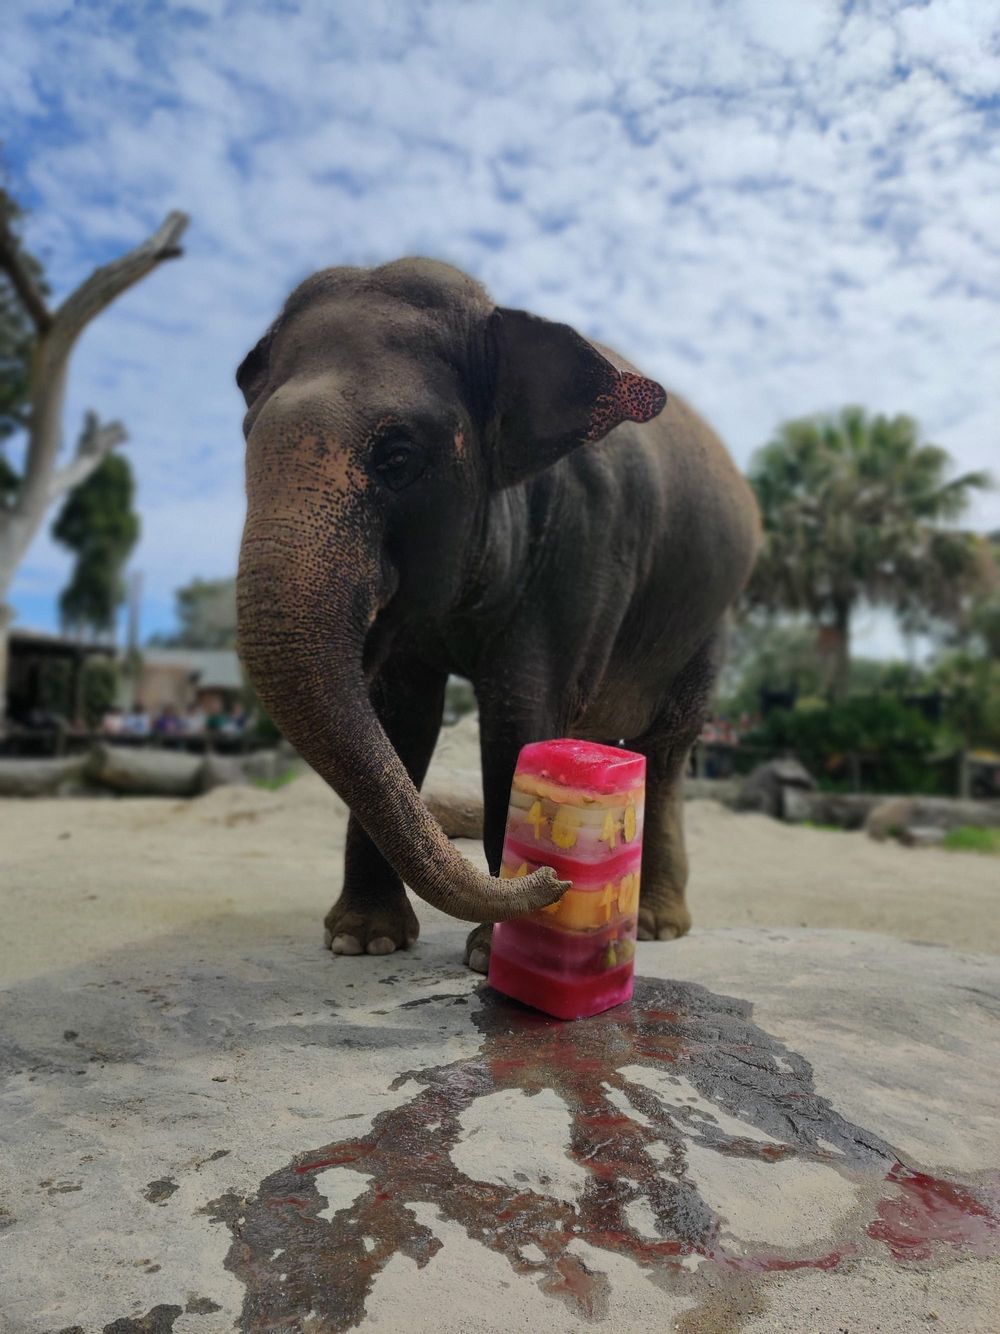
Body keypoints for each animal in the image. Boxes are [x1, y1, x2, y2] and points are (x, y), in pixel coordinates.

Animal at [235, 258, 760, 971]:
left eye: (397, 456)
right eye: (245, 440)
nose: (552, 879)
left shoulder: (586, 541)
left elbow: (521, 710)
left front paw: (494, 955)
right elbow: (403, 716)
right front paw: (363, 941)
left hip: (706, 625)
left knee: (669, 749)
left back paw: (655, 924)